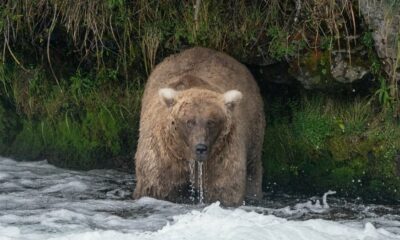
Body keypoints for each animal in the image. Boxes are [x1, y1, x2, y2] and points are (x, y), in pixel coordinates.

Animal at [134, 47, 266, 206]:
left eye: (211, 122)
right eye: (189, 121)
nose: (201, 148)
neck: (190, 159)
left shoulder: (222, 156)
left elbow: (225, 189)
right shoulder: (163, 156)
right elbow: (155, 187)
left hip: (253, 127)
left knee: (253, 167)